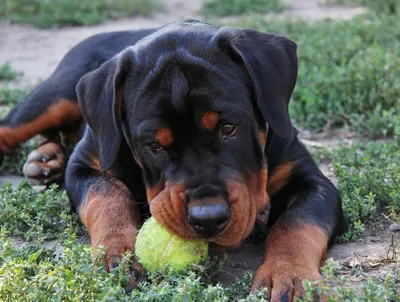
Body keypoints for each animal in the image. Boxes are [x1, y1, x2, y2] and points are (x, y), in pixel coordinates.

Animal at [0, 20, 346, 300]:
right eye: (154, 144)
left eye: (228, 127)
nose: (209, 218)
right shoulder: (85, 164)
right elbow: (107, 195)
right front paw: (119, 251)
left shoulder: (313, 183)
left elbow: (297, 223)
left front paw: (291, 277)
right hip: (54, 97)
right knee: (13, 126)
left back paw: (46, 160)